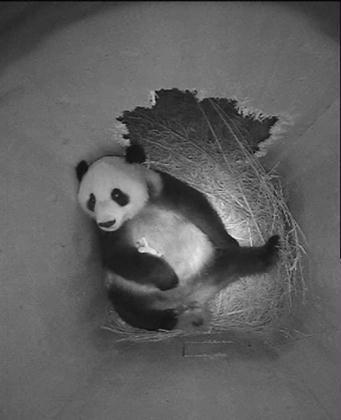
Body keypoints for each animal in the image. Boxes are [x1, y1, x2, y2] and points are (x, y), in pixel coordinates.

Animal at [75, 144, 278, 332]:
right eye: (91, 200)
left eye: (116, 194)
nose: (107, 222)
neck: (137, 212)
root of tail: (192, 296)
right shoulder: (111, 234)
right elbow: (119, 257)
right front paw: (169, 279)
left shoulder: (163, 189)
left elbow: (199, 210)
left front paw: (228, 240)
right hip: (127, 292)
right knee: (136, 314)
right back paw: (174, 319)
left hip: (211, 263)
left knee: (241, 260)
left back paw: (270, 252)